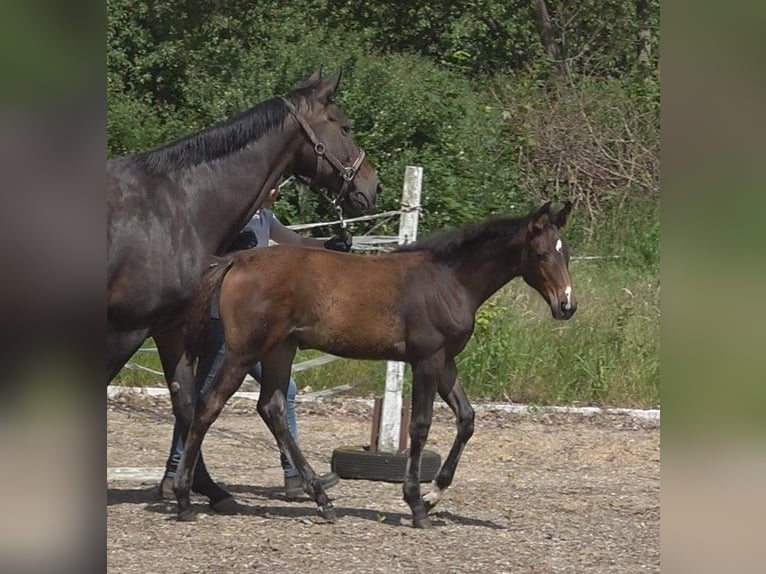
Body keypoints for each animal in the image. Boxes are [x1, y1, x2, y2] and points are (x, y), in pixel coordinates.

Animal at [106, 68, 382, 508]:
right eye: (345, 126)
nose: (372, 186)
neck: (172, 210)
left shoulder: (168, 328)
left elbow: (188, 405)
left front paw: (204, 488)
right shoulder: (125, 329)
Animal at [180, 202, 576, 532]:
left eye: (567, 253)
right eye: (541, 253)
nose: (567, 306)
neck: (449, 280)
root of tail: (235, 261)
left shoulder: (446, 361)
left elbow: (466, 419)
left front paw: (433, 496)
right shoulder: (427, 359)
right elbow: (420, 426)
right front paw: (416, 506)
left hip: (280, 350)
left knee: (271, 407)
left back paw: (322, 500)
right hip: (243, 352)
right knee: (209, 404)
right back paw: (184, 496)